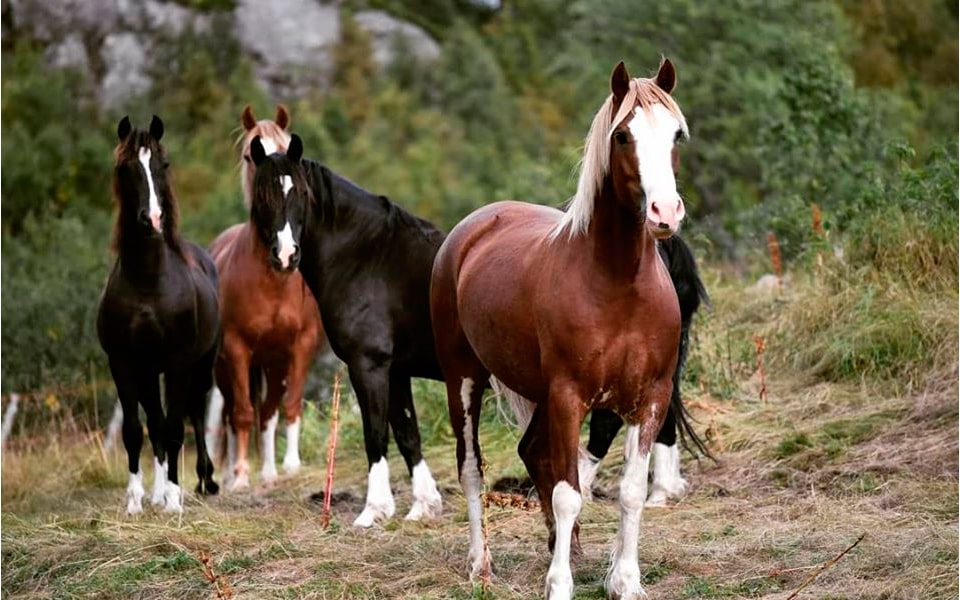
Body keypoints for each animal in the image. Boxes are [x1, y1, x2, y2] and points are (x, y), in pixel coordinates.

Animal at [99, 116, 223, 516]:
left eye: (163, 164)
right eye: (125, 167)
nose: (152, 218)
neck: (148, 284)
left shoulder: (179, 361)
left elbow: (174, 428)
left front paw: (173, 500)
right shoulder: (123, 362)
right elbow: (135, 430)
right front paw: (136, 501)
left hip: (201, 365)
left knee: (195, 414)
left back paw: (203, 481)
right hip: (148, 371)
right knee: (154, 421)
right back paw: (156, 491)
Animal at [205, 105, 322, 490]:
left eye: (287, 149)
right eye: (248, 155)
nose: (286, 254)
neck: (274, 280)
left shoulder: (300, 346)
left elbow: (290, 405)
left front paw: (290, 466)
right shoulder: (237, 348)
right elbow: (242, 414)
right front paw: (240, 476)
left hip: (273, 362)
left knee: (269, 410)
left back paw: (269, 470)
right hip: (226, 368)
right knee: (231, 414)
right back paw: (231, 474)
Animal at [246, 132, 444, 524]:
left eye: (300, 193)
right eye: (262, 195)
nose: (286, 255)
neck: (369, 259)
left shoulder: (368, 366)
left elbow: (376, 434)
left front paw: (374, 511)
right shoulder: (395, 370)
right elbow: (407, 433)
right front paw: (423, 505)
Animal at [432, 59, 688, 600]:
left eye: (675, 134)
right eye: (623, 136)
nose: (665, 213)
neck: (619, 285)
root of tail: (471, 229)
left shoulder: (649, 399)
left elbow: (629, 492)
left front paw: (624, 582)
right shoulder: (570, 397)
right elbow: (569, 492)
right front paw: (560, 585)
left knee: (532, 454)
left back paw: (566, 547)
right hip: (462, 377)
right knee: (471, 468)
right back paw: (480, 566)